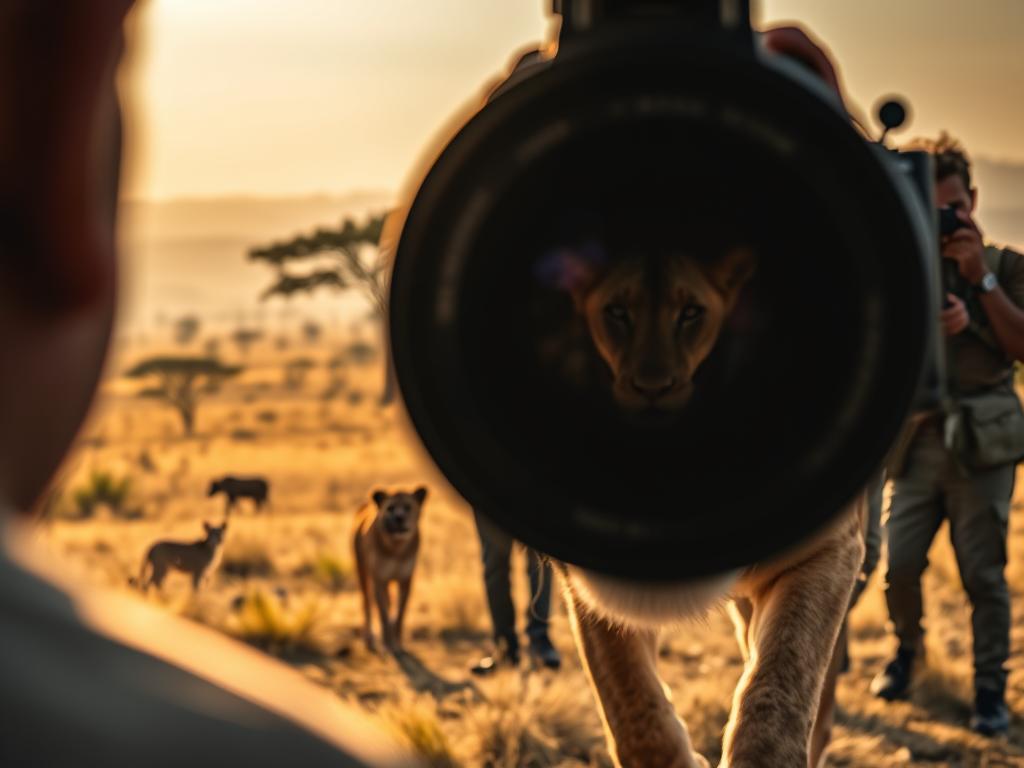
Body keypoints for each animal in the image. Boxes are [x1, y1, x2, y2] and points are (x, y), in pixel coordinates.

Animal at [547, 246, 864, 767]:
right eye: (617, 312)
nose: (652, 389)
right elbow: (633, 710)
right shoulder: (586, 584)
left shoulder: (832, 549)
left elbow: (782, 687)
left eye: (691, 313)